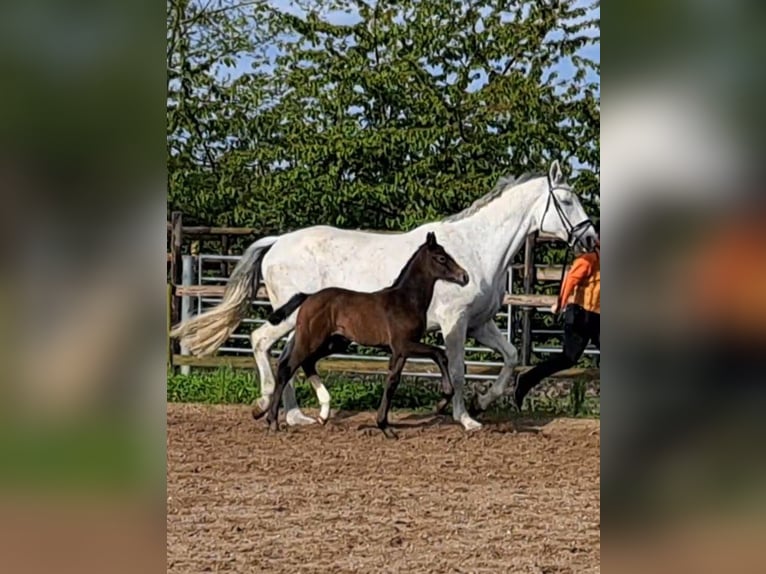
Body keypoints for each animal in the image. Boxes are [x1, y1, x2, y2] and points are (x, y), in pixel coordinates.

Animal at [262, 232, 468, 438]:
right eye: (441, 258)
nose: (464, 276)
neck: (406, 300)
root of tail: (308, 296)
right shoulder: (404, 344)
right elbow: (439, 353)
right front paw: (441, 403)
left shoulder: (400, 352)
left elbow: (392, 382)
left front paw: (385, 427)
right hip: (310, 339)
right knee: (286, 368)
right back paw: (273, 422)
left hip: (335, 343)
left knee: (308, 362)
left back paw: (323, 415)